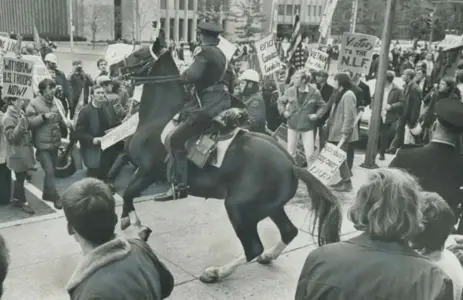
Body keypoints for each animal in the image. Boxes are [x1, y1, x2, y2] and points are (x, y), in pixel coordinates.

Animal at [113, 32, 344, 284]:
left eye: (138, 54)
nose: (114, 67)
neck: (157, 117)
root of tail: (292, 165)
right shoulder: (137, 167)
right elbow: (123, 187)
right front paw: (126, 219)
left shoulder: (147, 172)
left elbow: (128, 192)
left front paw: (137, 226)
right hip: (270, 207)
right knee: (287, 232)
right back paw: (268, 257)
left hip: (238, 207)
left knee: (253, 247)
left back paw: (215, 272)